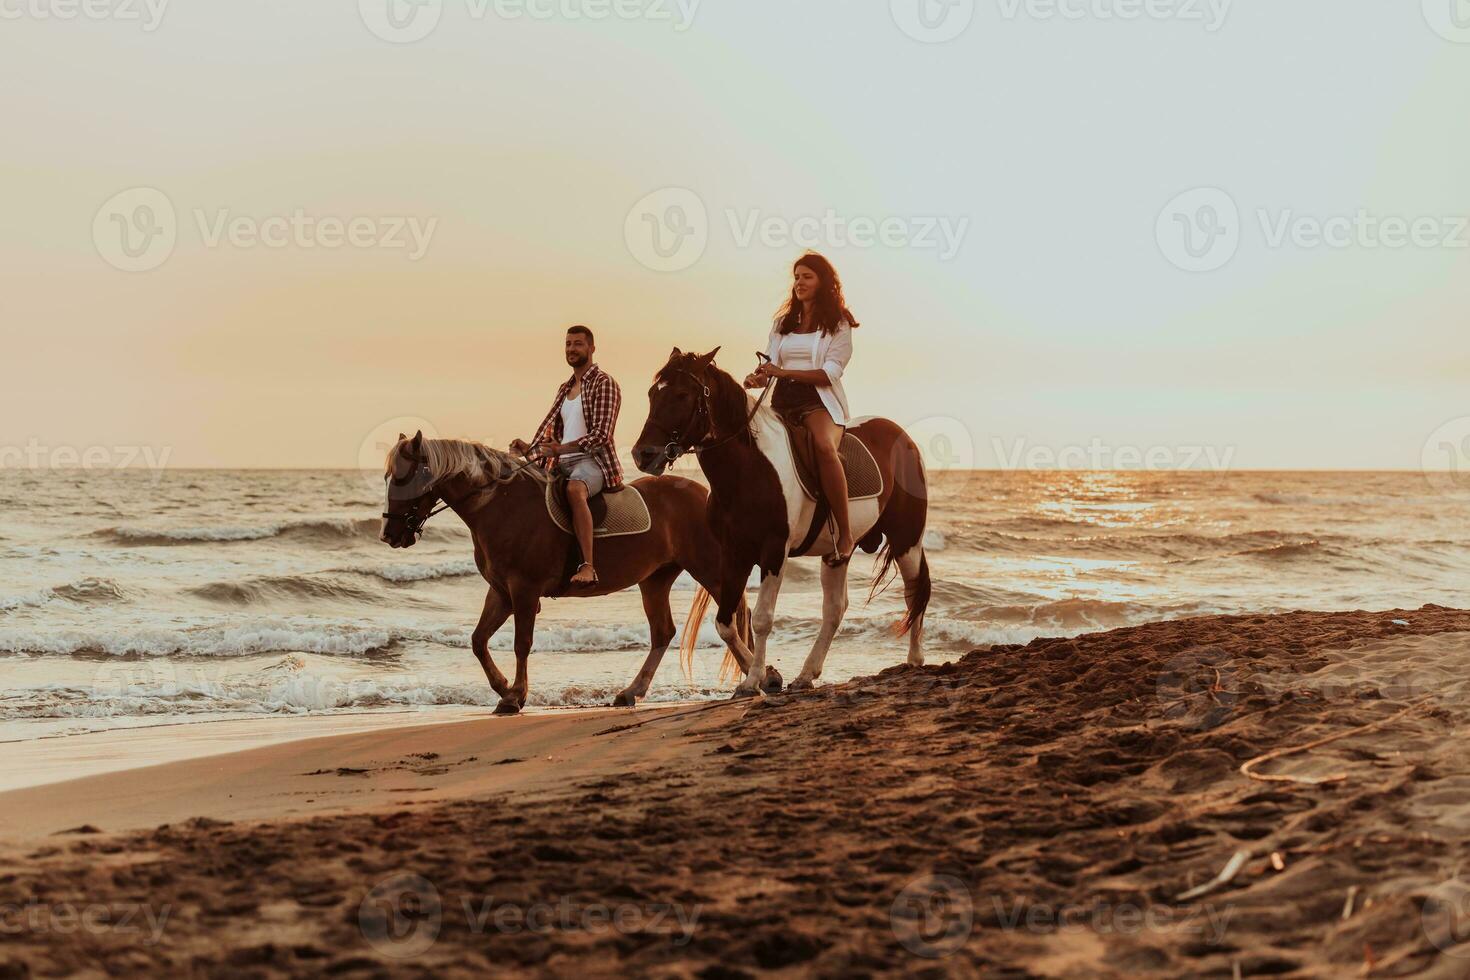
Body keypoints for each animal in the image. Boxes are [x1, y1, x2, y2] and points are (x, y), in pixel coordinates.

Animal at [379, 431, 764, 717]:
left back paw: (758, 676)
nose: (390, 535)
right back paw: (631, 692)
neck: (501, 506)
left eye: (404, 476)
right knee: (663, 632)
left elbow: (522, 643)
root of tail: (704, 493)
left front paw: (515, 696)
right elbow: (478, 640)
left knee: (732, 618)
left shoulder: (523, 590)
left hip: (709, 568)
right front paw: (503, 688)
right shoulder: (501, 592)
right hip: (655, 579)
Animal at [629, 351, 929, 696]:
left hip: (906, 540)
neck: (748, 469)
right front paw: (760, 677)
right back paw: (806, 675)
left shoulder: (773, 551)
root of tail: (903, 438)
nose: (643, 454)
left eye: (682, 395)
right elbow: (726, 623)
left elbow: (761, 619)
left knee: (913, 591)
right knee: (835, 609)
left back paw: (914, 659)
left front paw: (754, 680)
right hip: (837, 553)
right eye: (652, 394)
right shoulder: (733, 553)